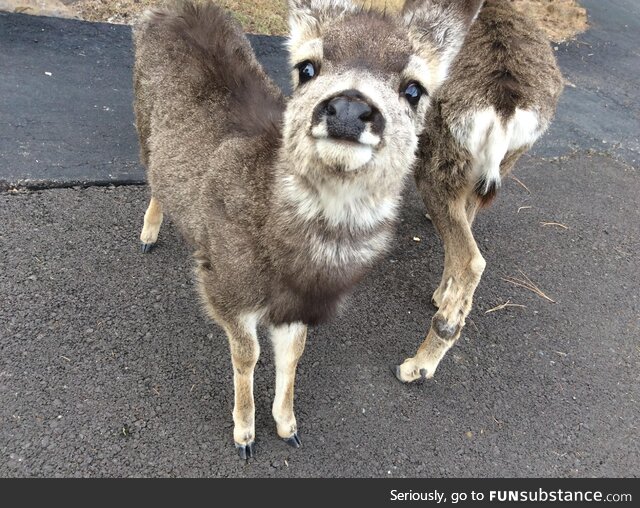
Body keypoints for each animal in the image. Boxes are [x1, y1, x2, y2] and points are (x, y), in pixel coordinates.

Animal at [134, 0, 480, 460]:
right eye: (307, 68)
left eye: (414, 89)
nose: (349, 107)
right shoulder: (223, 284)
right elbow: (247, 354)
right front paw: (244, 434)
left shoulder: (301, 305)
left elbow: (293, 354)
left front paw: (287, 425)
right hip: (141, 112)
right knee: (152, 171)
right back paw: (149, 234)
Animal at [392, 0, 564, 380]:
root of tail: (504, 108)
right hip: (501, 161)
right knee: (465, 238)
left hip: (437, 161)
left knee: (471, 259)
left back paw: (418, 364)